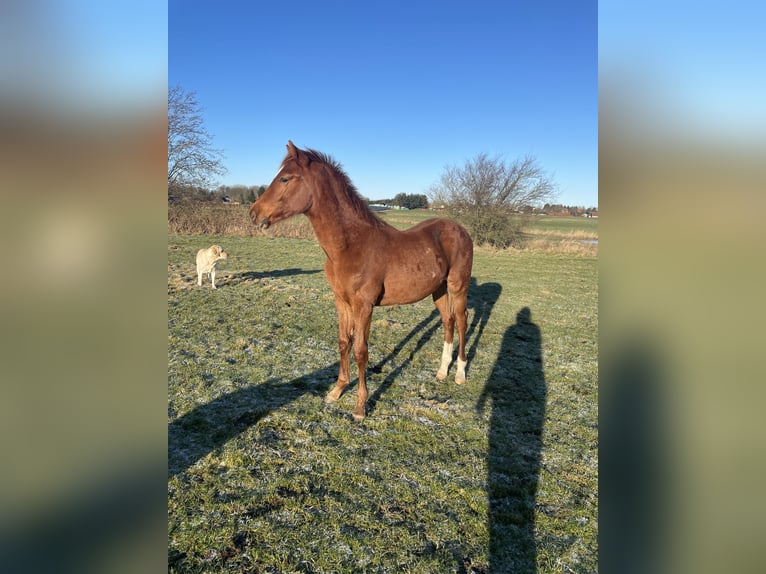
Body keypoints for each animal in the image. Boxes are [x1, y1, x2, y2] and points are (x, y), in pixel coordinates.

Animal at [252, 143, 474, 424]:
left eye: (284, 178)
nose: (254, 213)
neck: (350, 245)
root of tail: (460, 229)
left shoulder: (364, 305)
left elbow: (360, 351)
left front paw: (360, 407)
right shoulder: (341, 301)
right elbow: (343, 343)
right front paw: (336, 391)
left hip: (458, 286)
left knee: (462, 320)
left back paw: (460, 375)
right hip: (439, 290)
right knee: (448, 320)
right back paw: (442, 372)